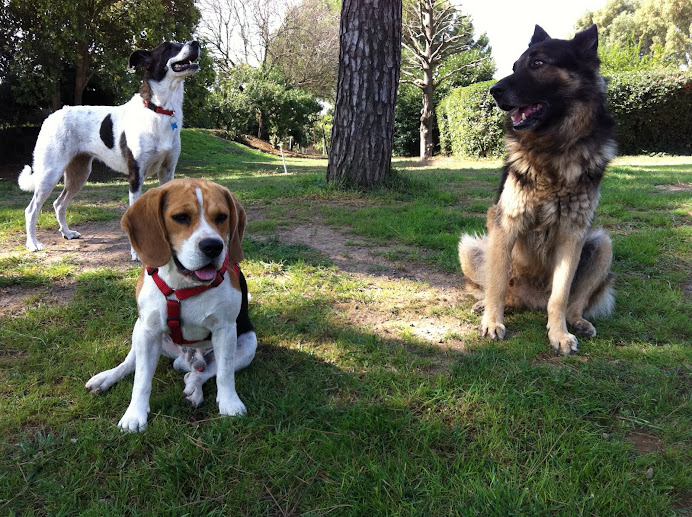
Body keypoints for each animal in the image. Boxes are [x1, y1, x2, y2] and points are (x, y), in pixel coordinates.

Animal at [17, 40, 200, 258]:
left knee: (59, 203)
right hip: (50, 173)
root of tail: (52, 116)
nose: (196, 43)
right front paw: (136, 253)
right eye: (169, 47)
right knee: (31, 210)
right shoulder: (136, 175)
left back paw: (67, 233)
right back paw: (32, 243)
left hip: (79, 174)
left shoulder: (167, 172)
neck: (159, 110)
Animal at [460, 25, 616, 354]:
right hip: (472, 246)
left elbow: (561, 296)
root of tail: (531, 302)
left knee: (574, 302)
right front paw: (492, 322)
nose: (494, 91)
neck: (552, 149)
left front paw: (559, 333)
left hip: (601, 245)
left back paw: (577, 322)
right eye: (514, 67)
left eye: (538, 64)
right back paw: (489, 307)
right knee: (500, 290)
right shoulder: (505, 224)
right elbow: (496, 285)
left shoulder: (573, 234)